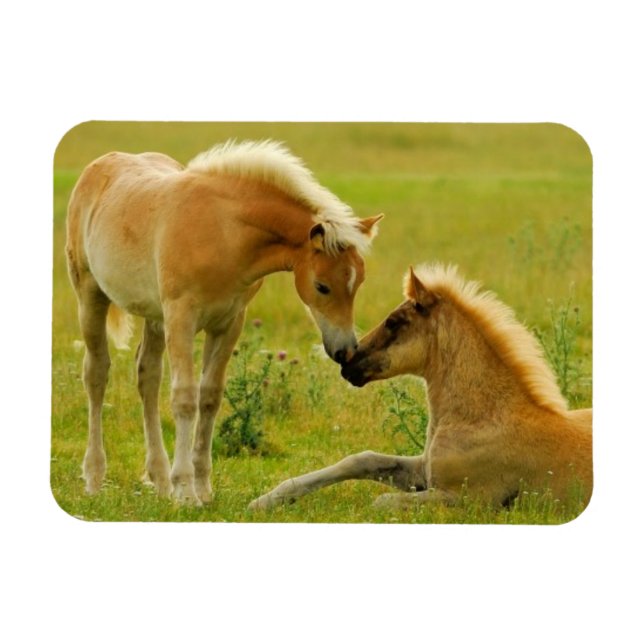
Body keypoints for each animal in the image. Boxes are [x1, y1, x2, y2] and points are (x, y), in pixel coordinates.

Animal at [65, 139, 383, 504]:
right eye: (322, 286)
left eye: (359, 282)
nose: (345, 350)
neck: (223, 233)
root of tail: (100, 165)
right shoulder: (182, 319)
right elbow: (185, 399)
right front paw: (185, 491)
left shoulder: (228, 323)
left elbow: (210, 398)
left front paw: (202, 488)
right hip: (91, 295)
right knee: (97, 373)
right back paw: (95, 477)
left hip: (155, 317)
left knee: (147, 376)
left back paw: (159, 479)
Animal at [248, 264, 592, 513]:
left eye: (393, 321)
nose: (348, 363)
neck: (485, 418)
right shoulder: (423, 473)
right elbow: (362, 460)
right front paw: (264, 501)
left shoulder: (470, 499)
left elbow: (382, 502)